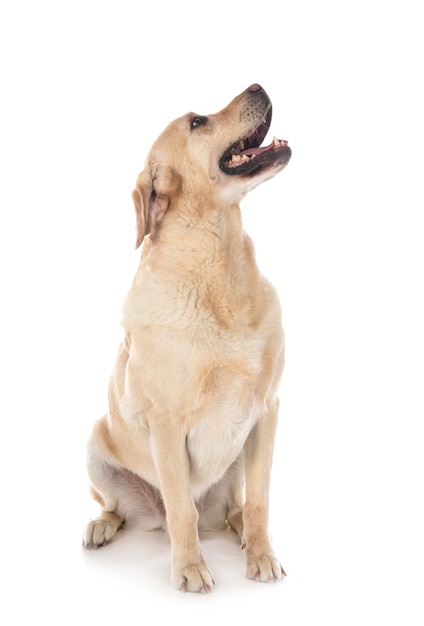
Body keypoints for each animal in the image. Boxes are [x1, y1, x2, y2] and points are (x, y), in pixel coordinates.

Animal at [84, 83, 294, 588]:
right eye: (197, 122)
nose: (258, 85)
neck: (217, 269)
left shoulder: (268, 410)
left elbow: (260, 501)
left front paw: (261, 556)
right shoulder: (166, 424)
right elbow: (182, 509)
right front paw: (191, 568)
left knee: (235, 508)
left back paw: (240, 533)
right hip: (95, 446)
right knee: (123, 508)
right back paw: (102, 526)